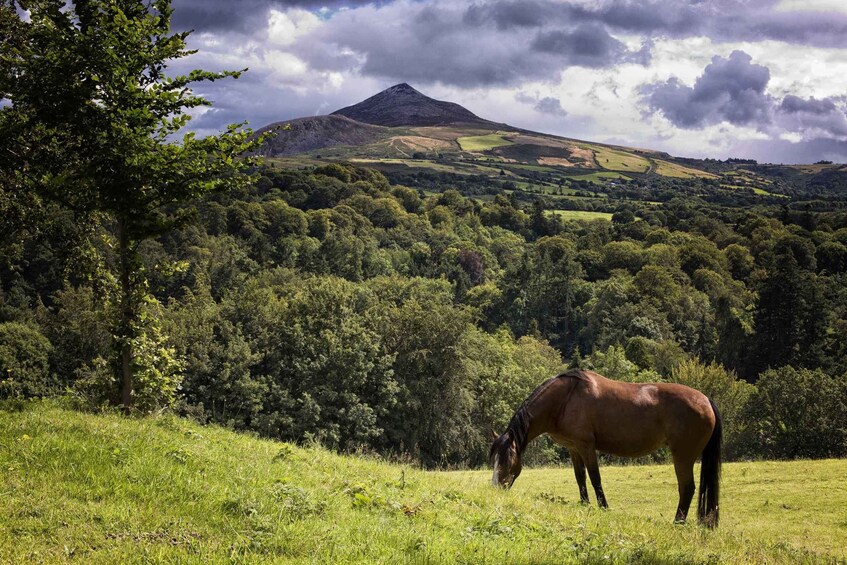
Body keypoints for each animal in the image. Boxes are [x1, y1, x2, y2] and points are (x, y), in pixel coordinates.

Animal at [490, 368, 724, 528]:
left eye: (507, 460)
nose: (495, 489)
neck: (565, 398)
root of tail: (706, 400)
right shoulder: (574, 448)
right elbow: (580, 477)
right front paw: (584, 504)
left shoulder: (586, 446)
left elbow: (595, 477)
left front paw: (603, 507)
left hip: (683, 456)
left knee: (687, 488)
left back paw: (677, 523)